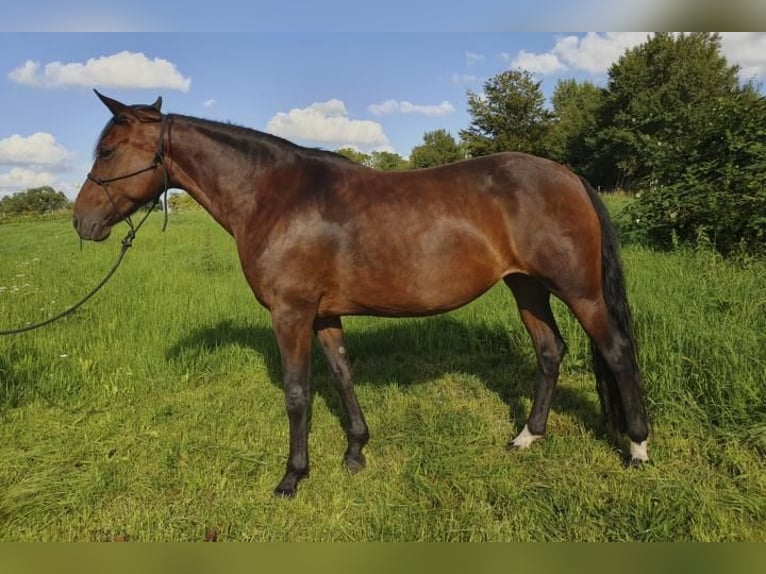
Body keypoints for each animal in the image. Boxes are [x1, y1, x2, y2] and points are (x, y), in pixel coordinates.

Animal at [72, 92, 652, 498]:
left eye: (108, 150)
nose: (81, 222)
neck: (274, 197)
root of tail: (568, 175)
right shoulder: (324, 316)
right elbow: (342, 375)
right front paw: (355, 452)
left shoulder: (291, 315)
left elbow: (297, 393)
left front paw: (292, 478)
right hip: (526, 287)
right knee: (550, 351)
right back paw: (527, 437)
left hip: (579, 291)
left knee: (618, 352)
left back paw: (638, 448)